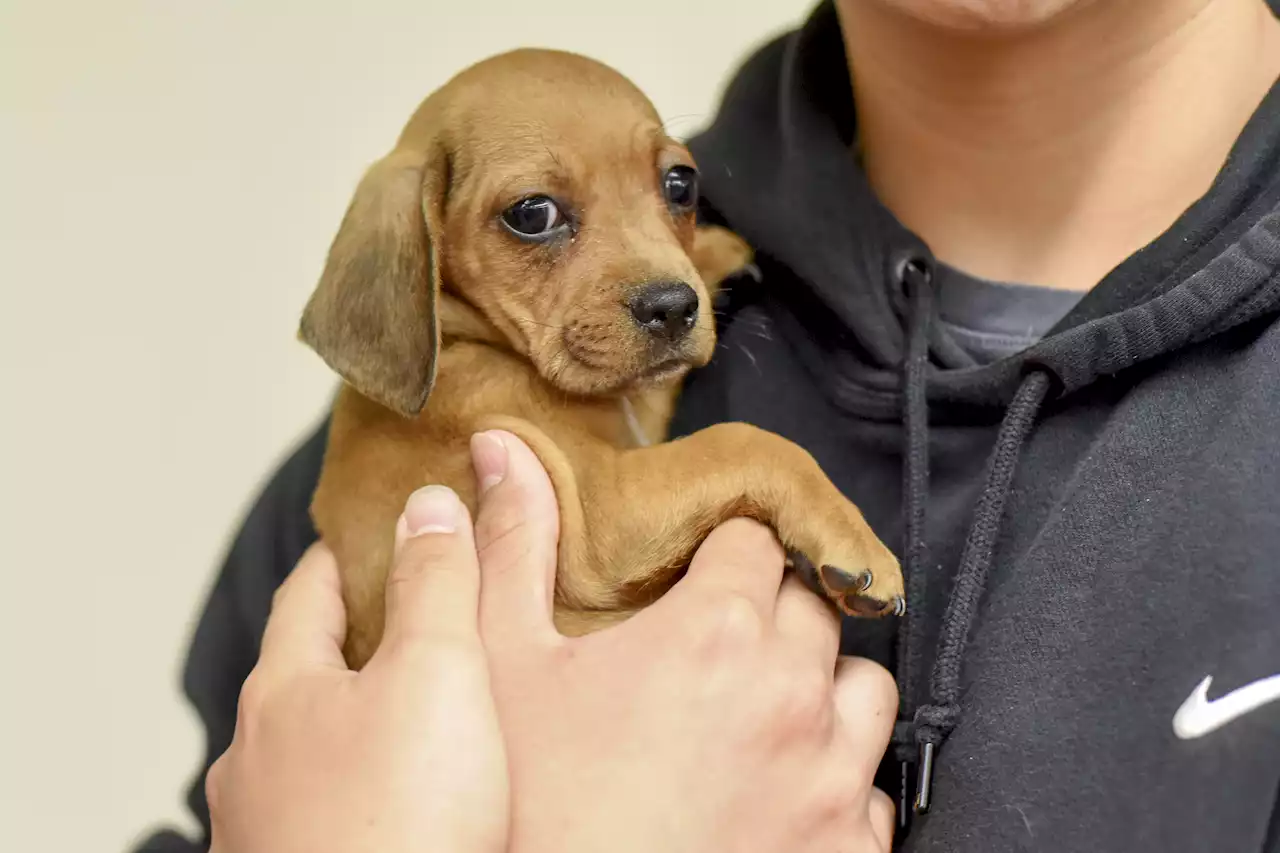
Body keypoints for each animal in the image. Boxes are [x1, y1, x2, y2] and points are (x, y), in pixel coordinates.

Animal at [300, 49, 906, 666]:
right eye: (532, 214)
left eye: (680, 184)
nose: (674, 308)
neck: (474, 344)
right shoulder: (604, 507)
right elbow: (743, 441)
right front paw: (849, 534)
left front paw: (716, 254)